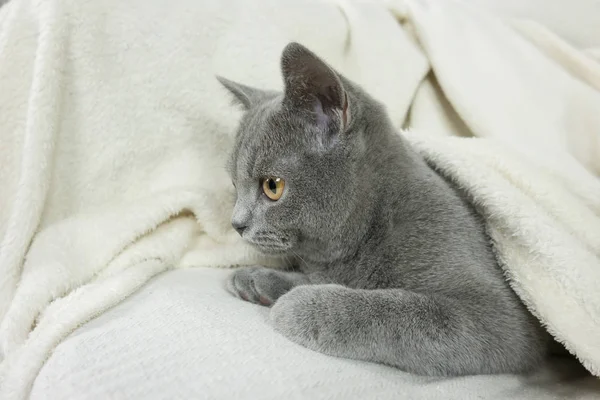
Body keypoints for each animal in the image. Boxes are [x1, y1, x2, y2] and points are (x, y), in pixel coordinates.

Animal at [219, 42, 548, 376]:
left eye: (272, 186)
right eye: (235, 185)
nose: (237, 223)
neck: (372, 223)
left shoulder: (493, 315)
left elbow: (395, 310)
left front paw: (300, 304)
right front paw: (258, 278)